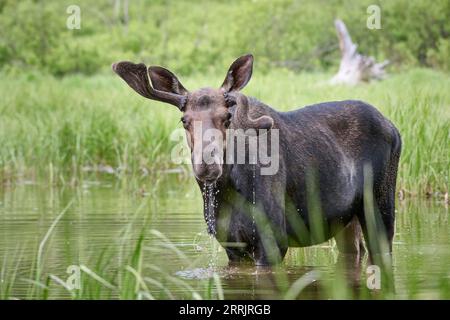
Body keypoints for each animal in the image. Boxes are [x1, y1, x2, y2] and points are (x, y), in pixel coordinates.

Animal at [114, 54, 402, 264]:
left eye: (227, 117)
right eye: (184, 120)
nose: (207, 164)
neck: (229, 191)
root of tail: (394, 128)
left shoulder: (273, 239)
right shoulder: (232, 245)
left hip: (380, 205)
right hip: (345, 220)